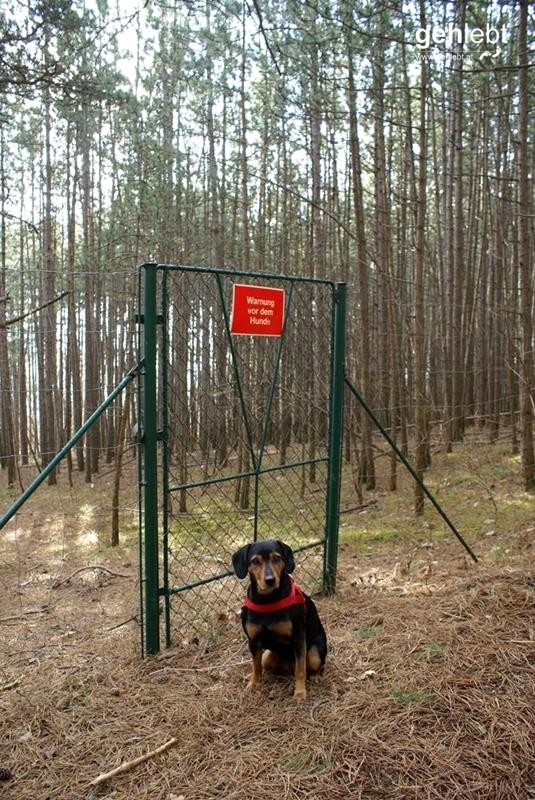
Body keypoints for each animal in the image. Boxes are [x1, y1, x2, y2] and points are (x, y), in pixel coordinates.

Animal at [233, 536, 328, 700]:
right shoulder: (253, 641)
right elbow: (256, 666)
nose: (270, 580)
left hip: (314, 653)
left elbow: (300, 670)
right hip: (267, 657)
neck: (267, 601)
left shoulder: (298, 639)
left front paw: (300, 693)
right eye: (255, 561)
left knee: (313, 665)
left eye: (277, 558)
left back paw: (315, 676)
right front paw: (253, 684)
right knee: (266, 665)